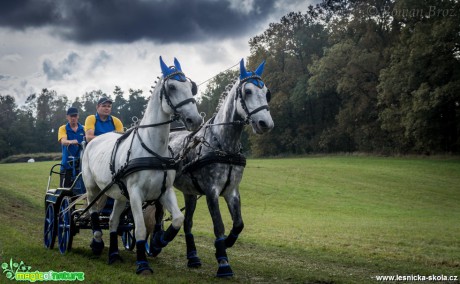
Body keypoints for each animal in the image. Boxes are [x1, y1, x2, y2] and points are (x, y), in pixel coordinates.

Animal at [80, 56, 201, 276]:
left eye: (191, 87)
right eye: (172, 87)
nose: (195, 120)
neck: (152, 149)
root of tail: (93, 141)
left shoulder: (164, 191)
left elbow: (178, 219)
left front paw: (159, 242)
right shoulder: (136, 193)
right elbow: (141, 228)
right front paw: (142, 263)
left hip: (119, 194)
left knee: (113, 220)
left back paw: (114, 254)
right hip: (92, 187)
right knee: (93, 213)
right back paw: (97, 242)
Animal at [160, 58, 274, 276]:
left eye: (266, 93)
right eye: (247, 91)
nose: (266, 124)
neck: (223, 145)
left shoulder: (232, 191)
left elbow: (238, 224)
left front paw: (224, 245)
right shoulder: (212, 191)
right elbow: (219, 225)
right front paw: (223, 262)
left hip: (190, 193)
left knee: (187, 223)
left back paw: (193, 256)